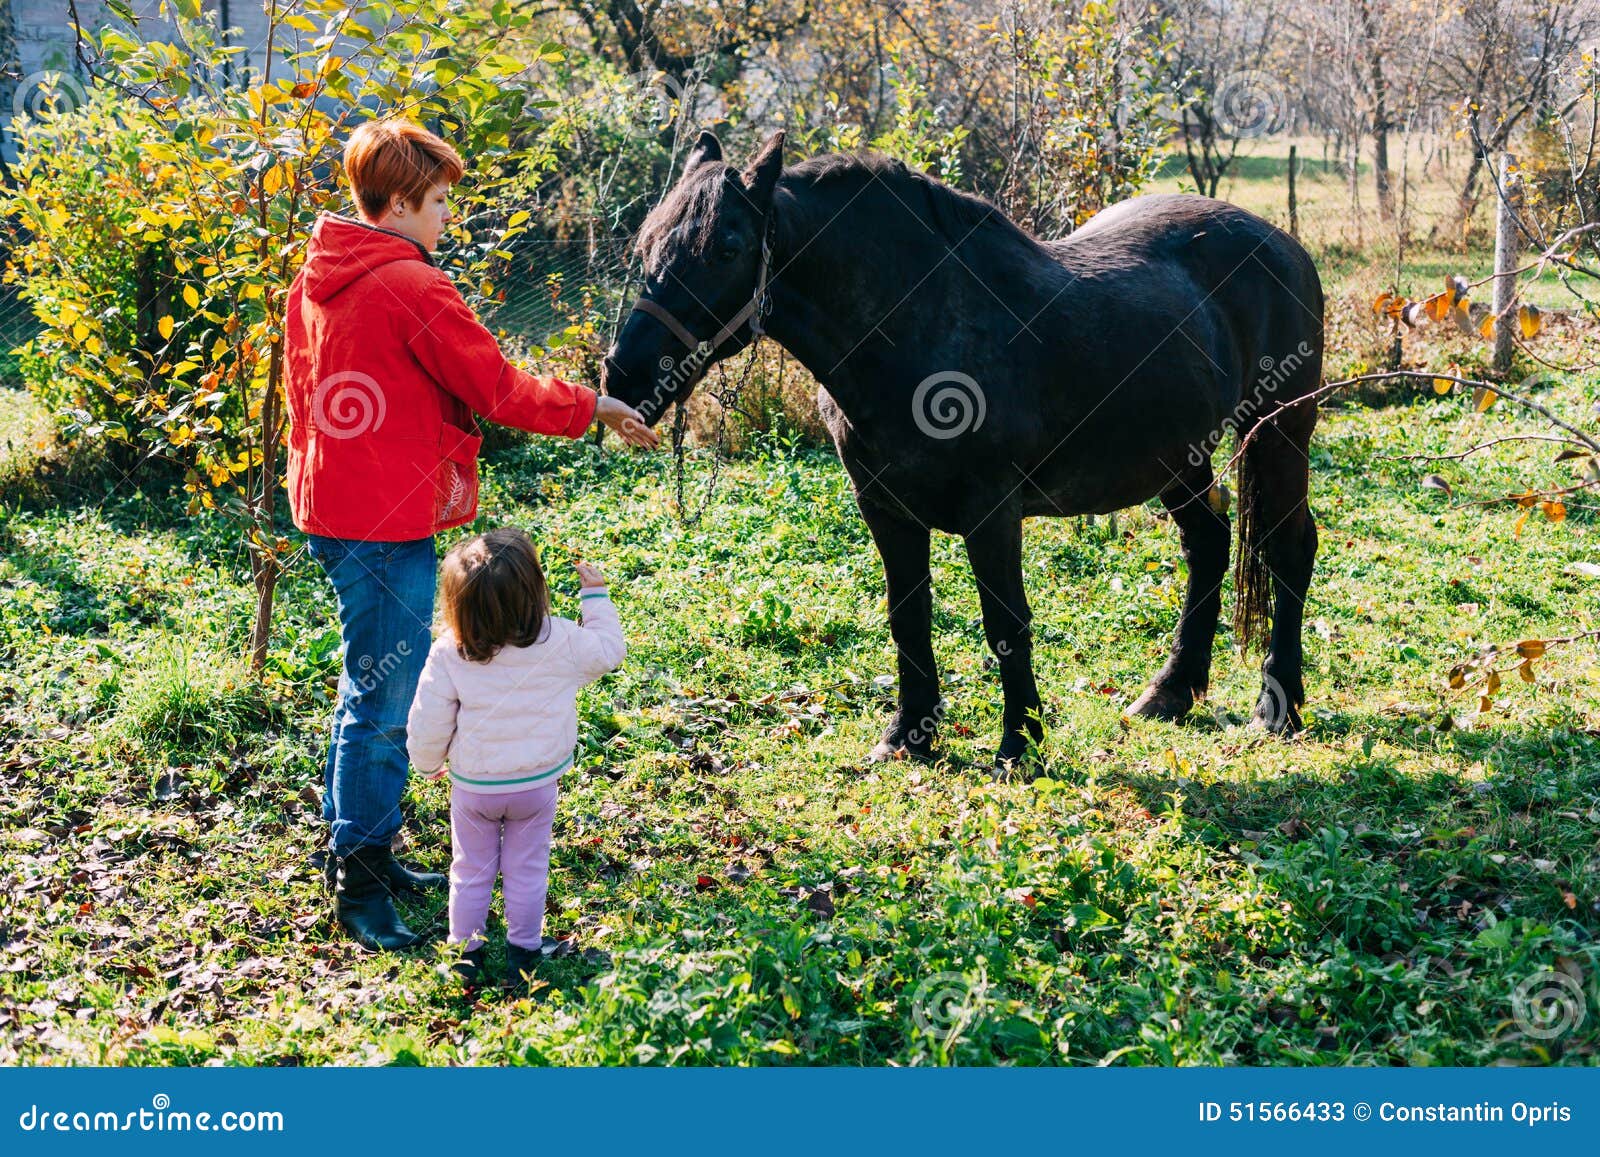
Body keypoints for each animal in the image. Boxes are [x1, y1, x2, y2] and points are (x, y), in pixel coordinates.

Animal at [601, 129, 1323, 768]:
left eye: (727, 246)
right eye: (647, 241)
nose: (623, 377)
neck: (913, 332)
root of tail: (1280, 243)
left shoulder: (991, 510)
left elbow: (1005, 622)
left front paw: (1018, 745)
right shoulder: (885, 508)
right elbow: (909, 616)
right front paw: (907, 737)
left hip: (1280, 434)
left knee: (1289, 549)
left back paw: (1277, 708)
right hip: (1178, 455)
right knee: (1208, 543)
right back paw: (1171, 691)